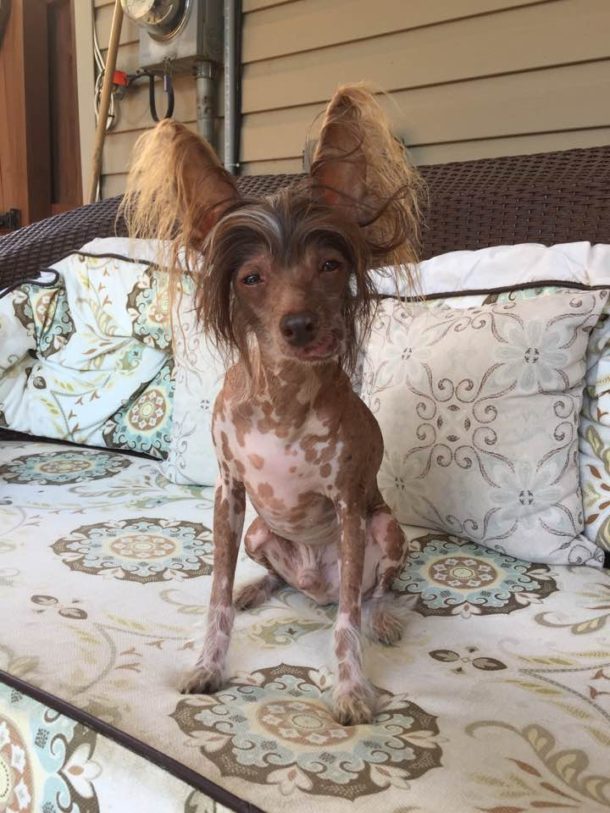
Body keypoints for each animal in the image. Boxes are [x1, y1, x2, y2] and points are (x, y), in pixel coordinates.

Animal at [124, 84, 422, 724]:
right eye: (251, 278)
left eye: (330, 266)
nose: (300, 326)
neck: (283, 398)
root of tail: (318, 584)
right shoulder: (228, 495)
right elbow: (214, 596)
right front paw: (209, 664)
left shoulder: (349, 504)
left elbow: (346, 624)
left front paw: (351, 690)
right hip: (260, 532)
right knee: (280, 580)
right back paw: (256, 589)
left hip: (383, 528)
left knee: (368, 592)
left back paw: (381, 616)